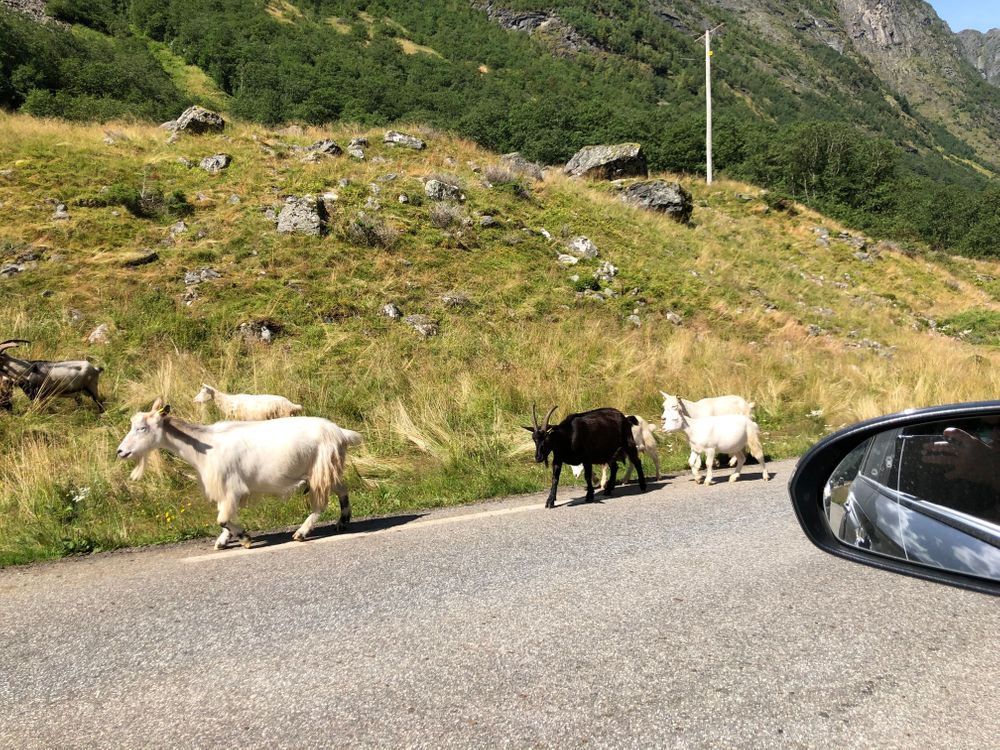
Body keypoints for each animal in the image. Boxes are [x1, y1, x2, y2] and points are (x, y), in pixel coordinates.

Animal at [117, 398, 363, 549]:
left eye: (142, 428)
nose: (120, 451)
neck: (203, 445)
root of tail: (340, 432)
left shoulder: (230, 487)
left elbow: (223, 518)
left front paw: (244, 538)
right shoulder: (225, 490)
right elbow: (224, 517)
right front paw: (223, 541)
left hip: (320, 469)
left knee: (320, 504)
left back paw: (302, 532)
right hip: (326, 469)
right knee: (342, 489)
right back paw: (343, 521)